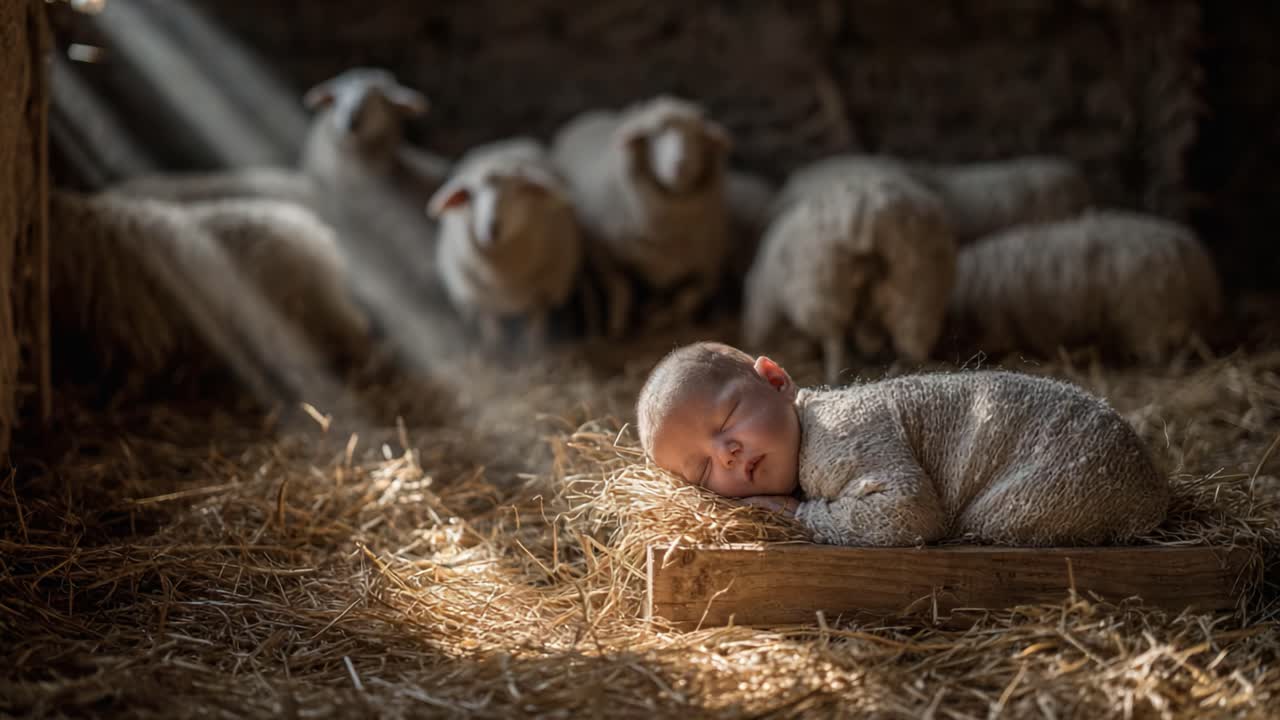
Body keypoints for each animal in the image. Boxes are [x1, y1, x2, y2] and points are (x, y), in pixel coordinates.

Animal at [426, 138, 583, 352]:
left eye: (518, 191)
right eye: (471, 195)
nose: (492, 227)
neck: (501, 278)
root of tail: (503, 144)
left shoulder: (546, 287)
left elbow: (537, 317)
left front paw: (534, 345)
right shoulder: (476, 293)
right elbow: (488, 318)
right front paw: (494, 344)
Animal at [551, 95, 733, 334]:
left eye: (697, 135)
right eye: (655, 135)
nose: (681, 165)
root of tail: (590, 115)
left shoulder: (707, 267)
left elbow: (687, 300)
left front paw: (664, 320)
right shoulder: (606, 255)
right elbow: (621, 289)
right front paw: (618, 327)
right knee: (589, 291)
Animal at [743, 158, 957, 384]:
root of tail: (872, 212)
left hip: (826, 288)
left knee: (834, 340)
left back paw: (835, 377)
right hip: (917, 288)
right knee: (913, 343)